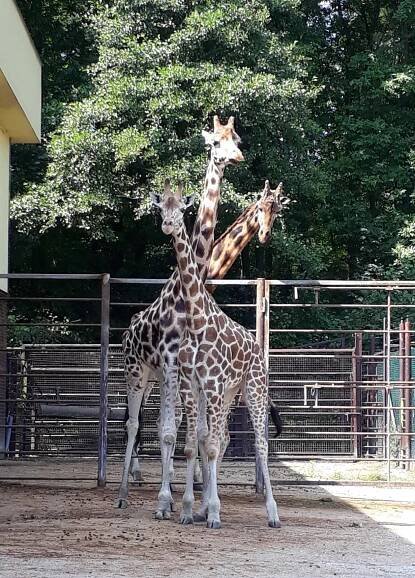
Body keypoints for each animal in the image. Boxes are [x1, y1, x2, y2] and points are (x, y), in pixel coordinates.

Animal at [115, 113, 244, 516]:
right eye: (214, 143)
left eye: (236, 139)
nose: (235, 158)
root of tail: (127, 330)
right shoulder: (174, 360)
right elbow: (172, 432)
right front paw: (167, 501)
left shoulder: (185, 368)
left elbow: (195, 433)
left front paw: (194, 500)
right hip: (136, 370)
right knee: (133, 423)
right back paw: (123, 494)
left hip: (157, 375)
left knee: (155, 422)